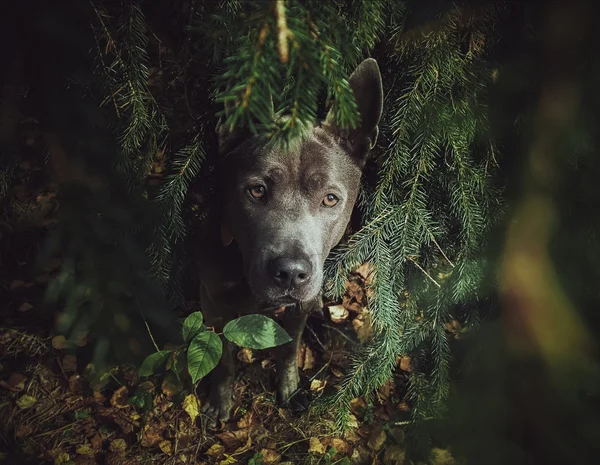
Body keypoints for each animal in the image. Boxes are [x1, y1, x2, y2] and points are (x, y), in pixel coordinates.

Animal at [198, 57, 384, 424]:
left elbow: (288, 349)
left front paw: (289, 388)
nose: (291, 272)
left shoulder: (297, 309)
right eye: (256, 190)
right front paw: (219, 401)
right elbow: (223, 359)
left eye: (330, 199)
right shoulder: (214, 307)